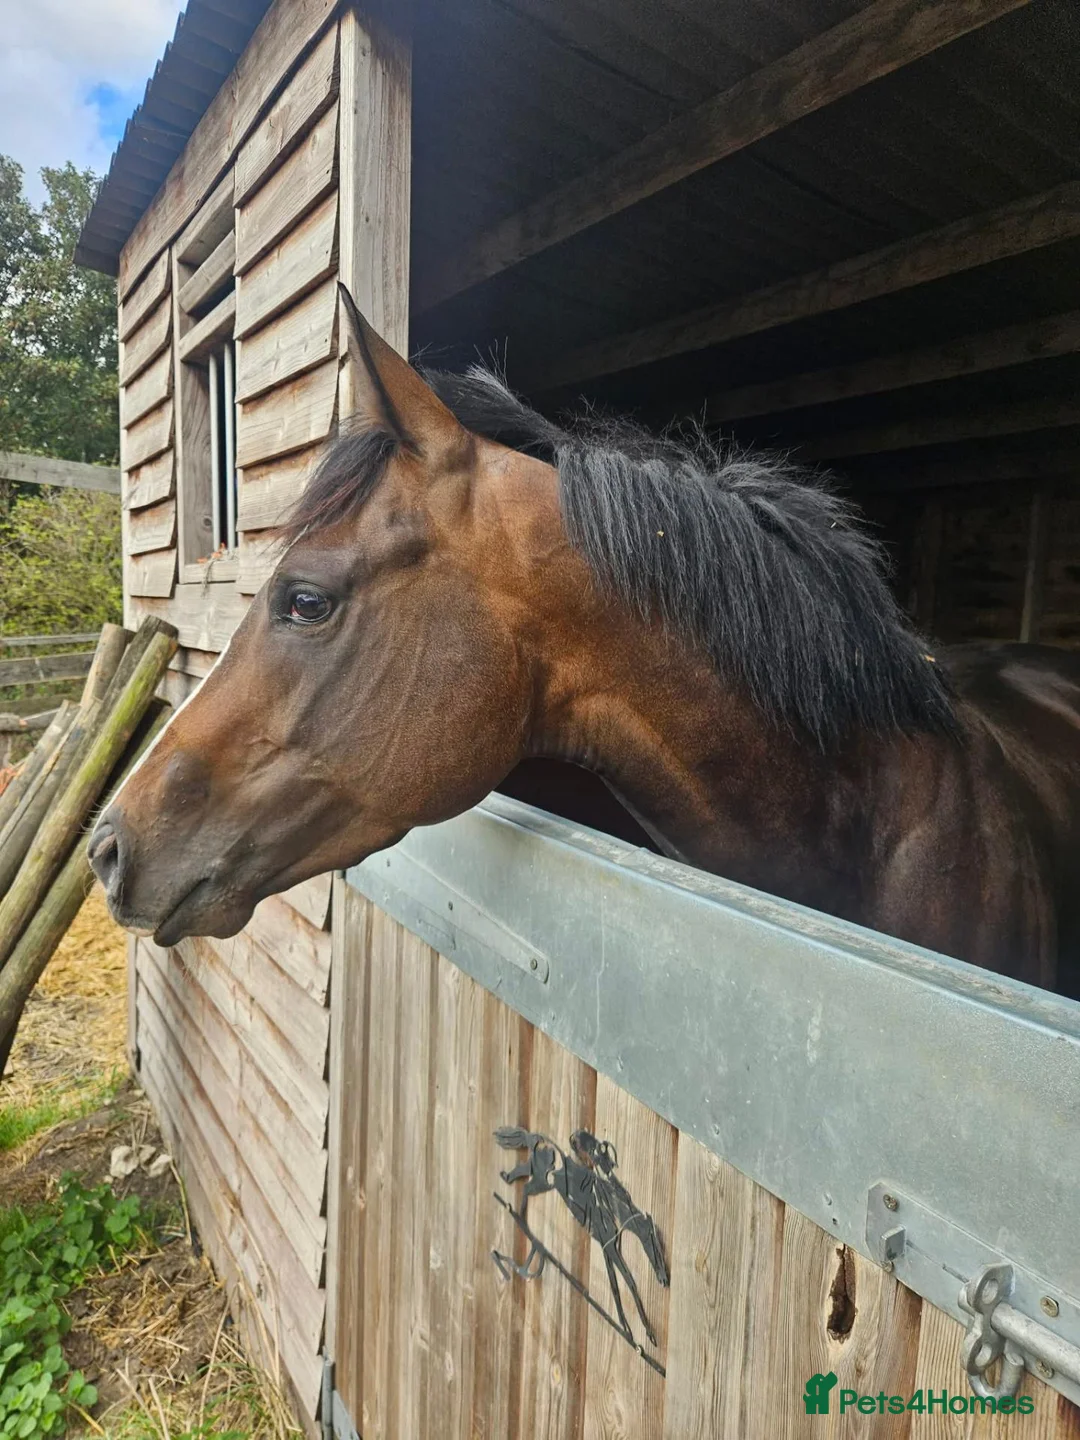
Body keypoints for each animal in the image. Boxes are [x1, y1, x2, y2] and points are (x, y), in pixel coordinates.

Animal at [492, 1126, 669, 1348]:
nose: (664, 1279)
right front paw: (642, 1333)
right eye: (655, 1247)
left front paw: (631, 1331)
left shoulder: (606, 1246)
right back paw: (520, 1216)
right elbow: (627, 1282)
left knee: (522, 1180)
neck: (612, 1208)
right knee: (524, 1188)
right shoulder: (609, 1247)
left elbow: (615, 1284)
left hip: (541, 1180)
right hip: (542, 1181)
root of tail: (539, 1139)